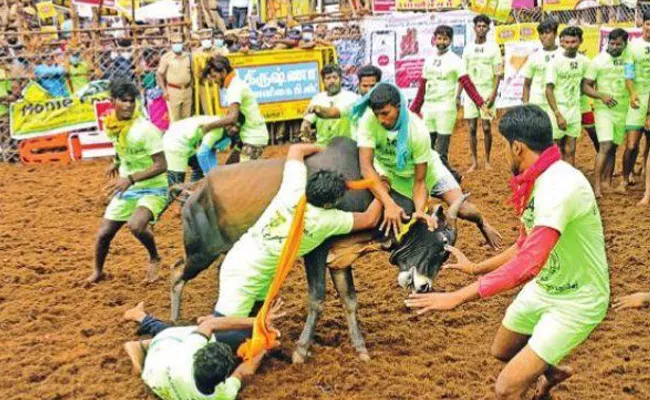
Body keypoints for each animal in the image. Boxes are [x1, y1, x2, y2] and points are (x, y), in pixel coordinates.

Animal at [172, 138, 466, 362]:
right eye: (440, 245)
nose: (425, 286)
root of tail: (195, 189)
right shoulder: (316, 252)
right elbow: (317, 300)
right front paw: (300, 352)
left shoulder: (340, 261)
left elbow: (350, 301)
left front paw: (361, 350)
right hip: (201, 253)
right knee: (176, 275)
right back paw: (176, 321)